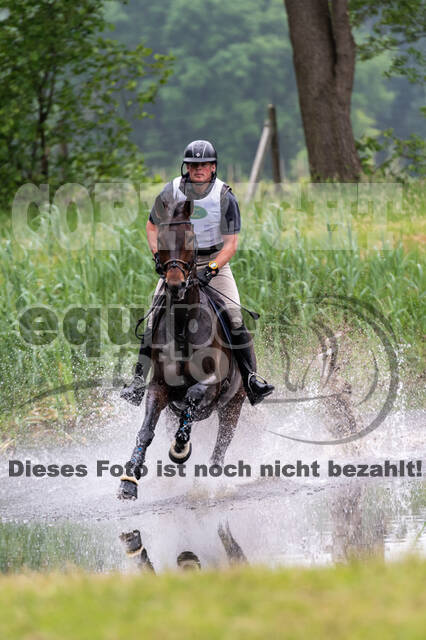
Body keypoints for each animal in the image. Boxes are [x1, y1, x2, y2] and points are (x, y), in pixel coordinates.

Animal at [118, 199, 249, 500]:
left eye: (191, 238)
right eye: (161, 240)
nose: (176, 284)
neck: (182, 323)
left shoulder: (214, 383)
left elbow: (194, 393)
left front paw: (181, 448)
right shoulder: (159, 387)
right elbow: (146, 430)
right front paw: (129, 480)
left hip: (233, 406)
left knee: (220, 447)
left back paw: (209, 482)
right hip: (172, 412)